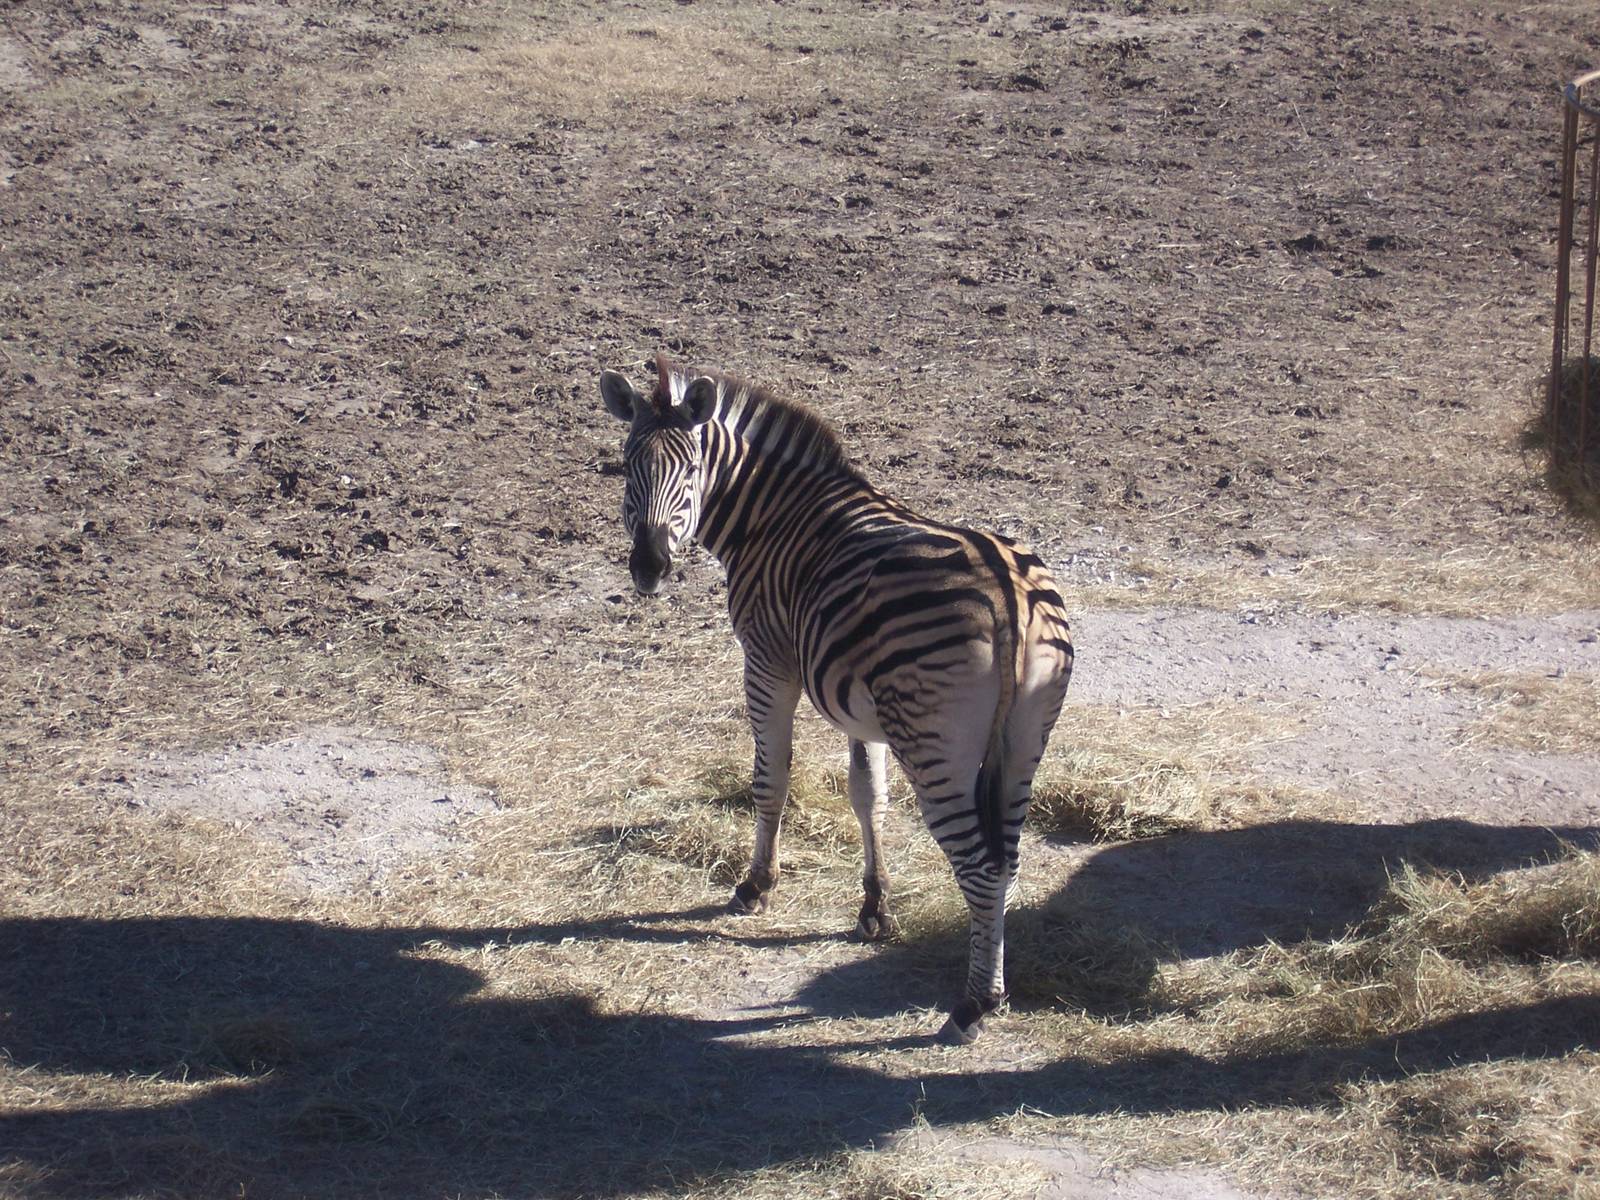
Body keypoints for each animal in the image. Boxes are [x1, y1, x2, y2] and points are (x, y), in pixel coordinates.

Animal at [598, 353, 1074, 1043]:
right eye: (629, 466)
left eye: (687, 470)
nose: (649, 568)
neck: (771, 516)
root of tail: (1007, 588)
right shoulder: (860, 703)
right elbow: (867, 794)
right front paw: (874, 908)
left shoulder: (768, 664)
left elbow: (770, 779)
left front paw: (755, 887)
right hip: (1023, 743)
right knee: (1006, 860)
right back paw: (991, 988)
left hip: (935, 745)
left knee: (980, 867)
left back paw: (973, 1006)